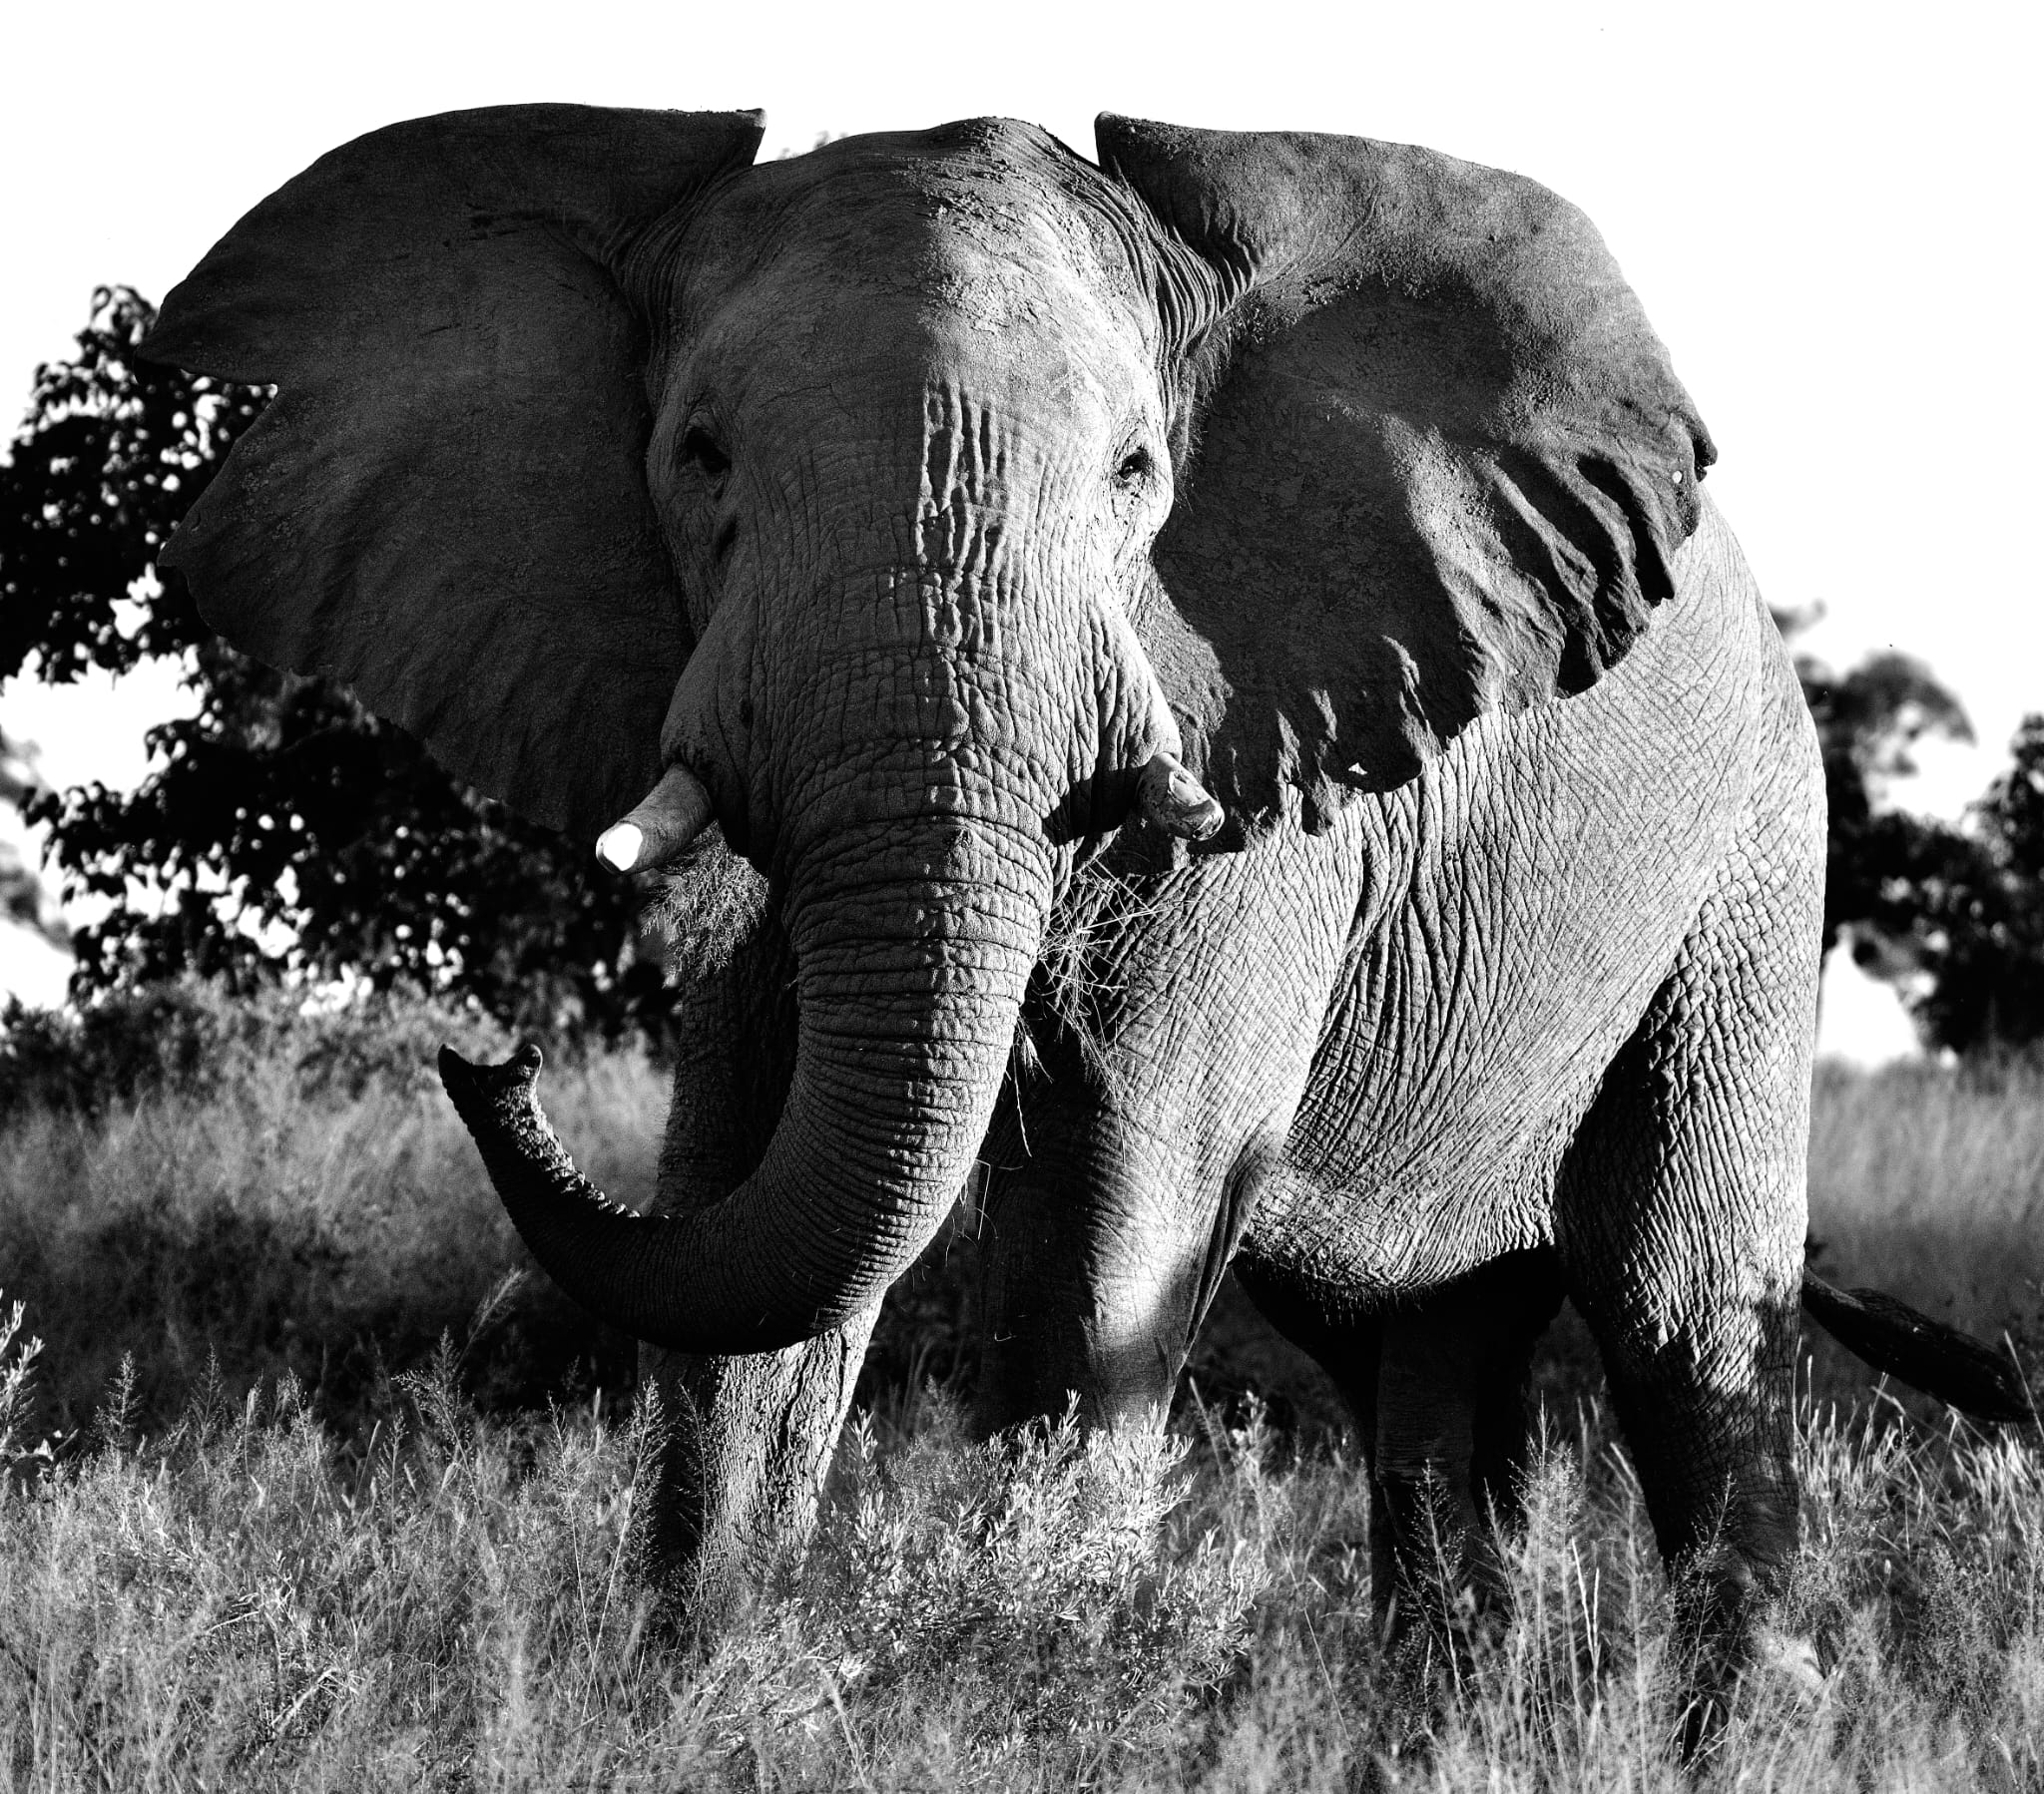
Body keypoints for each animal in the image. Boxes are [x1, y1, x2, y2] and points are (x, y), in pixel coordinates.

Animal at [143, 105, 2029, 1741]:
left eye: (1134, 471)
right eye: (698, 457)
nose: (486, 1052)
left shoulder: (1257, 756)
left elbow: (1110, 1208)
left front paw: (1019, 1706)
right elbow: (755, 1195)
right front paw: (682, 1707)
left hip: (1751, 862)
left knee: (1679, 1307)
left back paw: (1738, 1728)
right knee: (1425, 1361)